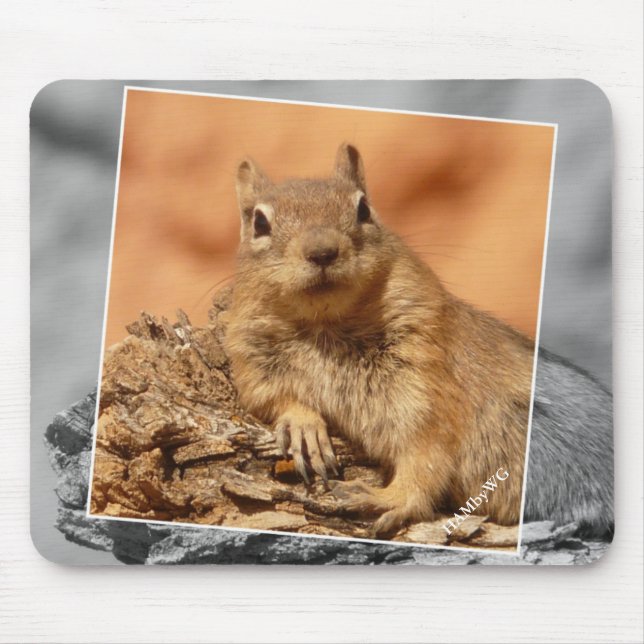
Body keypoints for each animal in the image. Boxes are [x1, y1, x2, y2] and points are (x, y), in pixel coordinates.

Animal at [224, 143, 613, 538]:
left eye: (364, 209)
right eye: (259, 223)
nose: (322, 251)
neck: (327, 326)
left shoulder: (427, 385)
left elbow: (426, 456)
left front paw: (387, 498)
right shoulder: (252, 361)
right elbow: (269, 397)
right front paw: (303, 425)